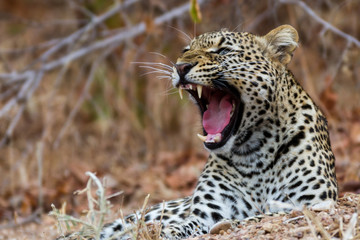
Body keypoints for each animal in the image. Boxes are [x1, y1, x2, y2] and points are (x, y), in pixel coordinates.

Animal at [71, 25, 340, 239]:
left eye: (222, 51)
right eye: (184, 50)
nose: (180, 66)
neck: (254, 153)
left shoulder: (313, 202)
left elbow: (261, 216)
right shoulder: (208, 213)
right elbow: (184, 225)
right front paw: (158, 231)